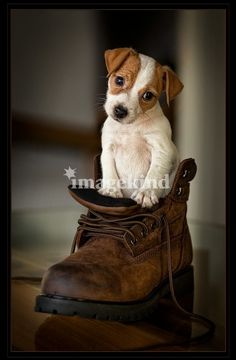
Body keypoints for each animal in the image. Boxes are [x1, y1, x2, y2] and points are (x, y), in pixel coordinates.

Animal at [98, 47, 183, 208]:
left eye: (148, 95)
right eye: (119, 80)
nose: (120, 111)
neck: (131, 127)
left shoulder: (162, 151)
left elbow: (154, 174)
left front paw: (146, 193)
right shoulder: (108, 149)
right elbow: (109, 170)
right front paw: (111, 190)